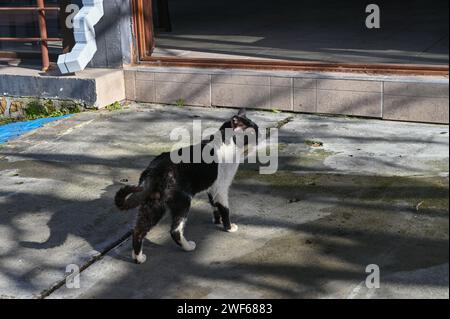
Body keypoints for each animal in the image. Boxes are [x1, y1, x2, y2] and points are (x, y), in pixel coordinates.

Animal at [114, 110, 258, 264]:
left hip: (153, 204)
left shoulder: (212, 188)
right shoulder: (222, 188)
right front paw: (228, 227)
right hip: (182, 201)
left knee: (138, 230)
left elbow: (214, 205)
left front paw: (216, 221)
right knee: (175, 230)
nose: (260, 134)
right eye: (253, 130)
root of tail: (153, 168)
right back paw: (188, 246)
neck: (228, 143)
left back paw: (138, 258)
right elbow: (224, 209)